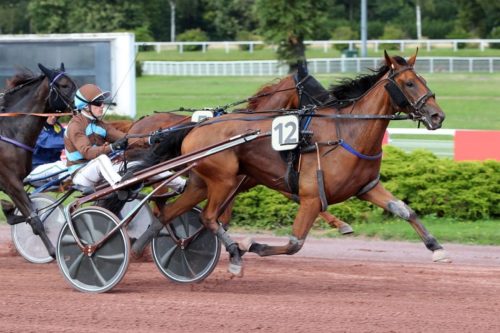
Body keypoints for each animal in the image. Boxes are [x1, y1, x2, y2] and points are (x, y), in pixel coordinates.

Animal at [0, 65, 76, 256]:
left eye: (74, 84)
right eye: (64, 85)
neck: (10, 131)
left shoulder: (16, 182)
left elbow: (22, 214)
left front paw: (9, 210)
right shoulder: (11, 181)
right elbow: (35, 220)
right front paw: (53, 251)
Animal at [133, 51, 450, 274]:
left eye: (424, 81)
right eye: (409, 83)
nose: (438, 116)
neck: (347, 131)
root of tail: (196, 126)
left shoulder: (367, 187)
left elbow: (405, 210)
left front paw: (437, 247)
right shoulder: (310, 197)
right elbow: (294, 244)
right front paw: (252, 245)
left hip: (202, 182)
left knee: (169, 213)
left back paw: (144, 247)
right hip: (223, 180)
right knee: (208, 217)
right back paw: (232, 254)